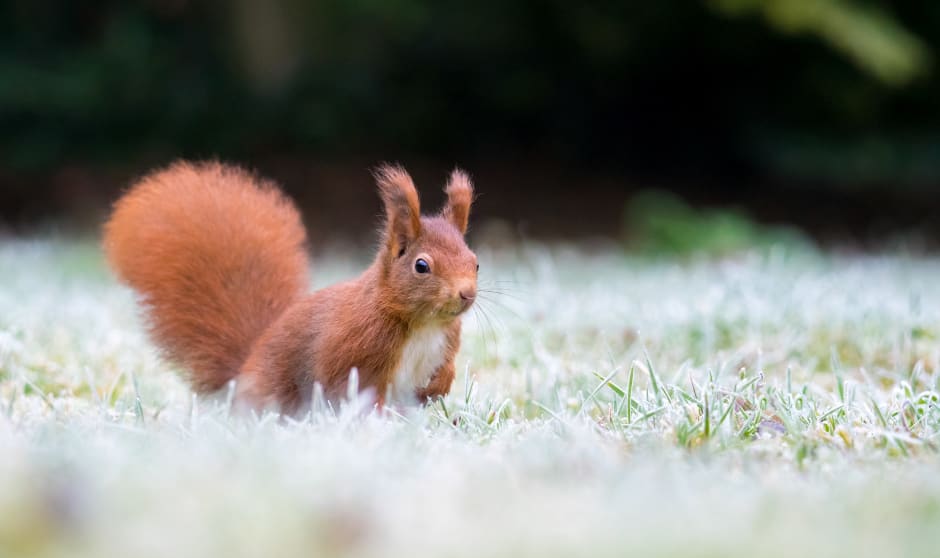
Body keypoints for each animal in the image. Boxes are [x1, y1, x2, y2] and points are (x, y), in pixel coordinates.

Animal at [104, 162, 478, 416]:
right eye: (421, 266)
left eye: (475, 262)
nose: (467, 294)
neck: (424, 324)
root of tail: (242, 375)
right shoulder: (355, 347)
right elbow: (352, 388)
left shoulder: (446, 341)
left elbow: (443, 372)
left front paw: (439, 384)